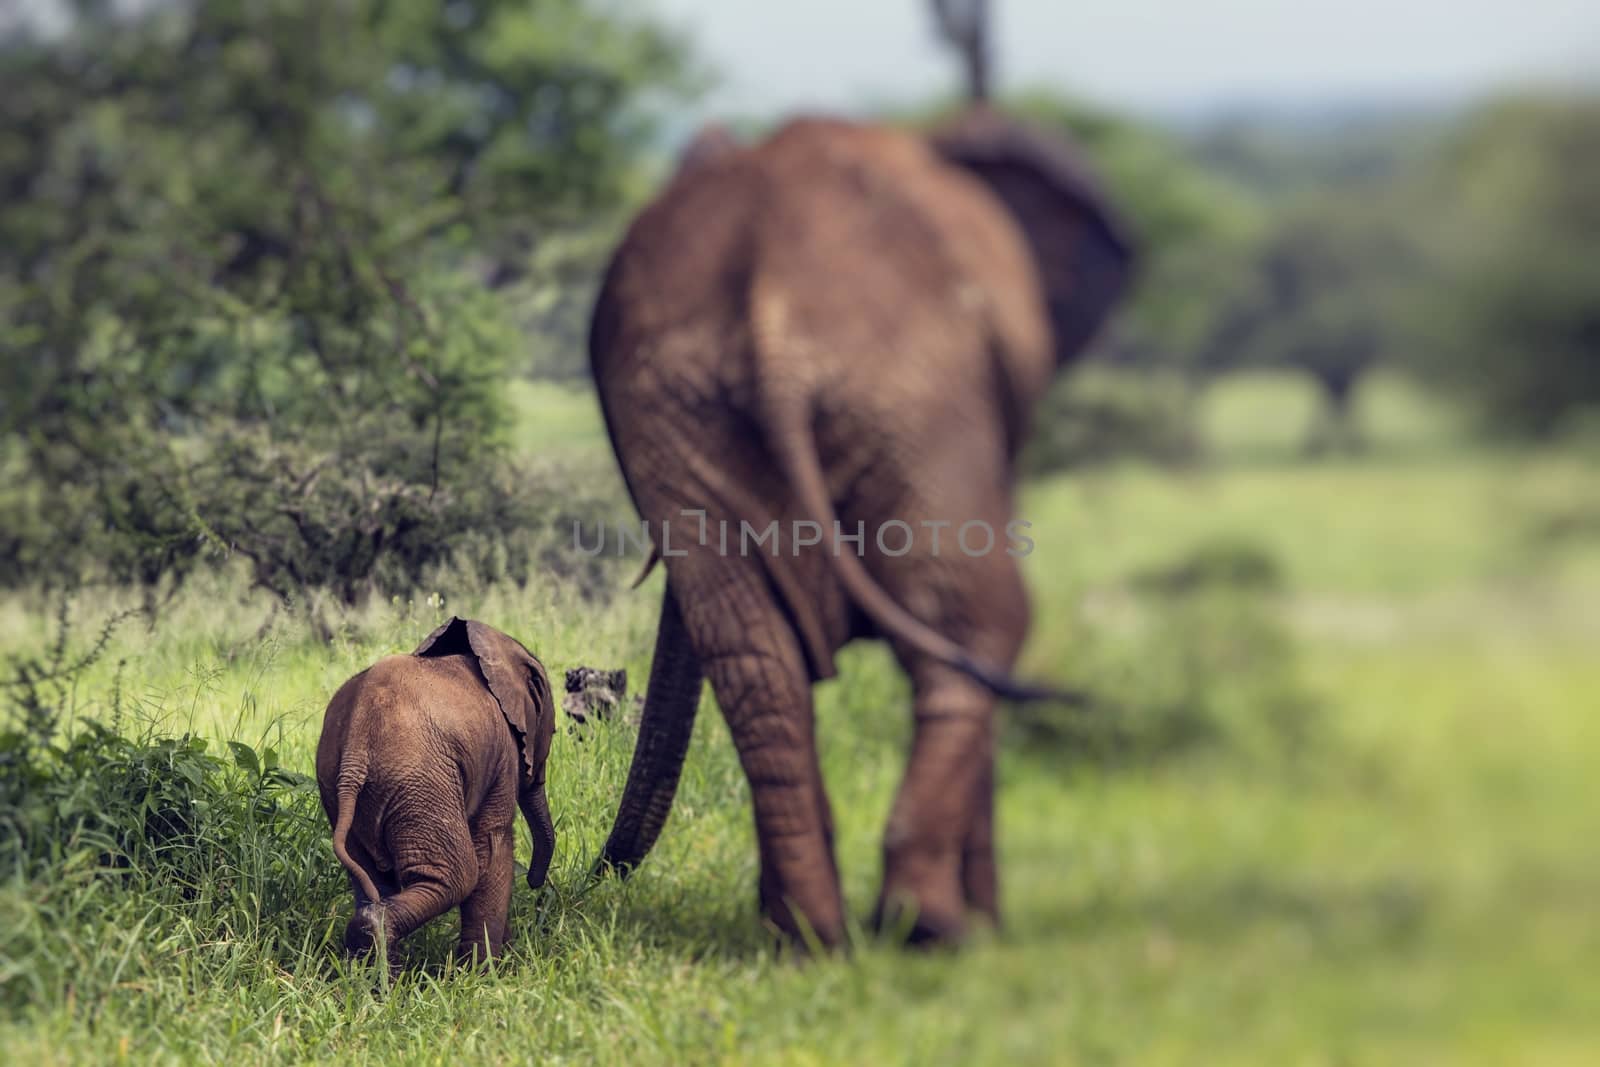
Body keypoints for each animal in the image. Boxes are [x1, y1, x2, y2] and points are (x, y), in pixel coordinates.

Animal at [316, 614, 556, 966]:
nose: (535, 883)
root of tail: (356, 746)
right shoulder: (502, 757)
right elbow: (491, 845)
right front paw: (483, 973)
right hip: (419, 780)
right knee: (458, 875)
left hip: (339, 786)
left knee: (374, 878)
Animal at [592, 106, 1139, 940]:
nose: (592, 874)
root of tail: (772, 294)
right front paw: (987, 924)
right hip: (919, 400)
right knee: (976, 627)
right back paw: (928, 929)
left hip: (682, 406)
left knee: (758, 662)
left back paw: (810, 938)